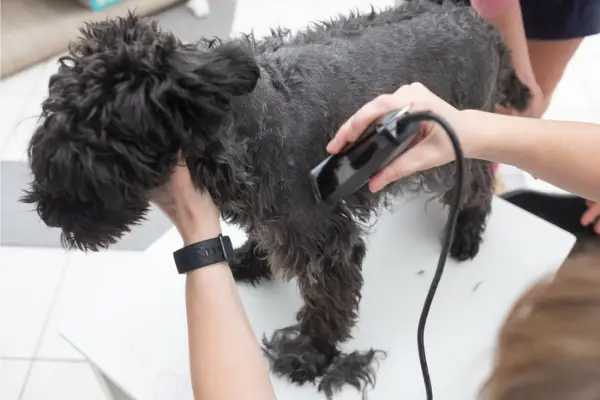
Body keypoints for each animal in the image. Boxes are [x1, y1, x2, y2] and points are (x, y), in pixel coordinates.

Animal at [22, 1, 528, 396]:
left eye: (98, 142)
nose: (47, 213)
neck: (240, 126)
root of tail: (482, 27)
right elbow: (265, 240)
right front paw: (249, 258)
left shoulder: (327, 240)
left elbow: (327, 301)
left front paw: (311, 354)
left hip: (450, 146)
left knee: (479, 181)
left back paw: (465, 232)